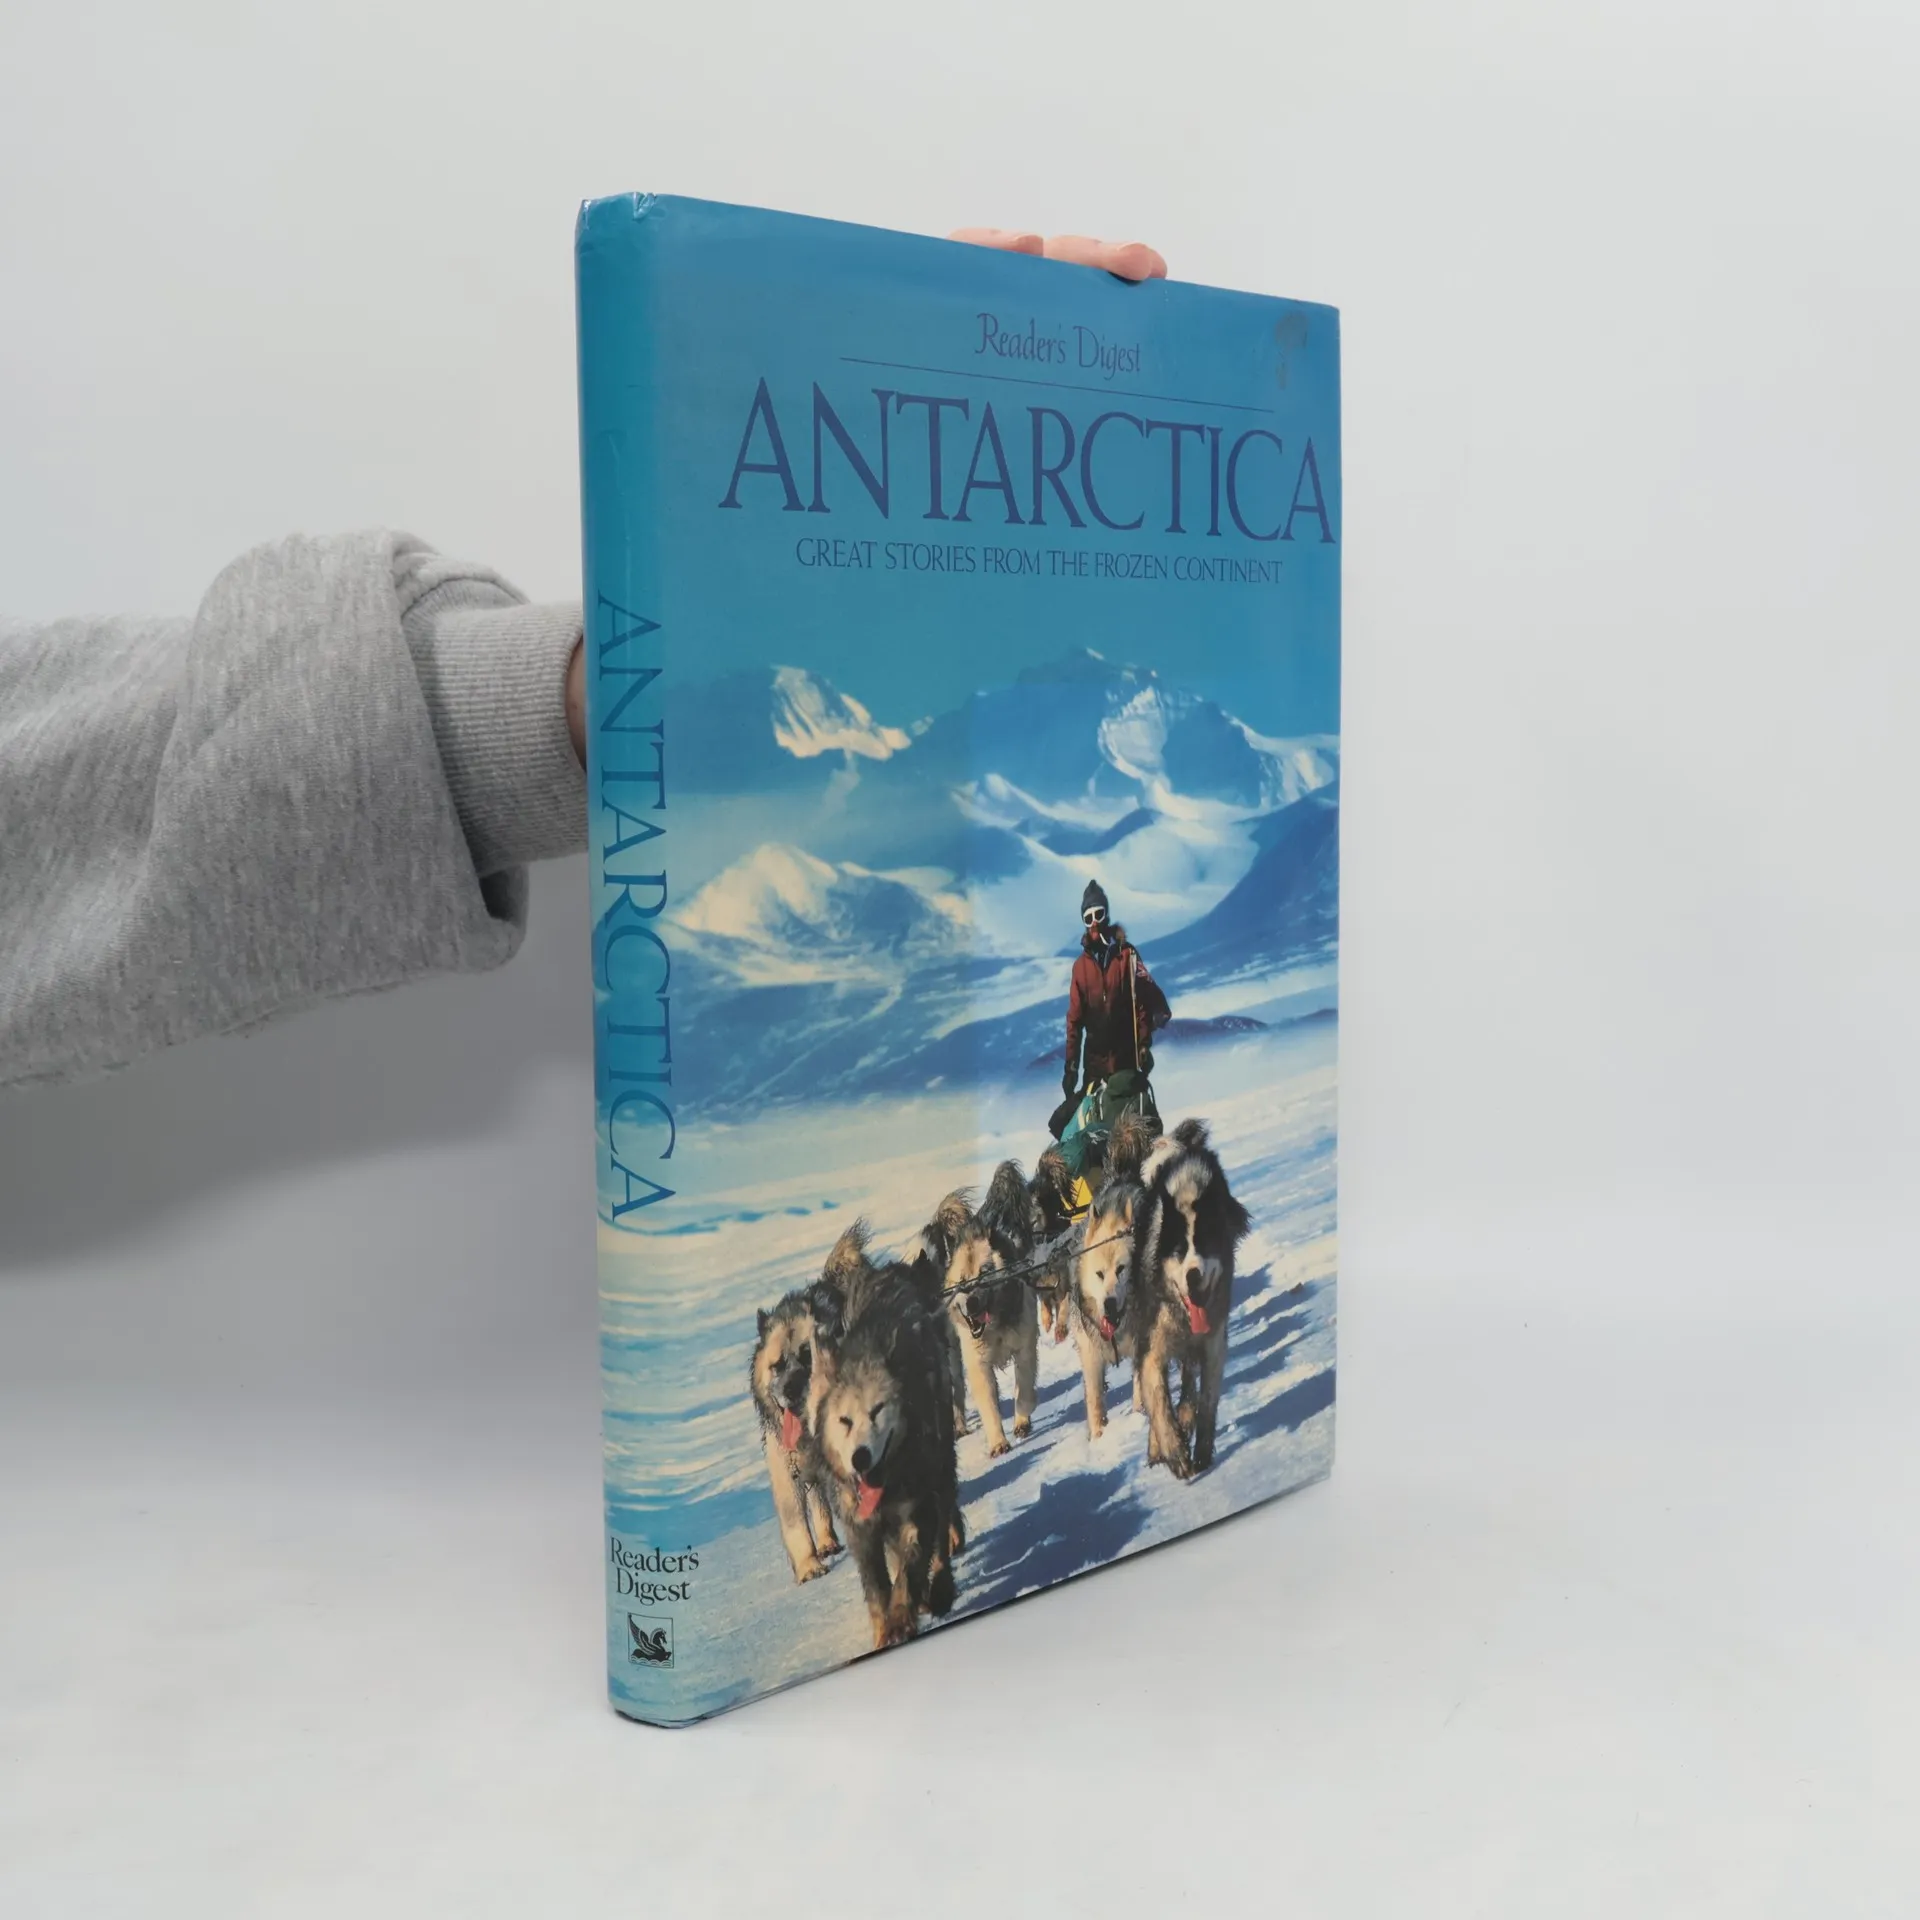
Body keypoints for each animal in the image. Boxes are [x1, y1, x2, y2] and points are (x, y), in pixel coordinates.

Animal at [749, 1289, 844, 1582]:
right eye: (777, 1366)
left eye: (807, 1356)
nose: (790, 1390)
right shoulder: (784, 1469)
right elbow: (796, 1524)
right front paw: (808, 1566)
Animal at [809, 1220, 964, 1649]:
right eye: (844, 1421)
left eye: (878, 1410)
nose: (860, 1457)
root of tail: (893, 1274)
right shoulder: (861, 1529)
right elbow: (878, 1585)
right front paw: (885, 1627)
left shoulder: (916, 1509)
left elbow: (909, 1572)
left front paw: (902, 1616)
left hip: (942, 1467)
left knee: (944, 1525)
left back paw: (940, 1587)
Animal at [940, 1161, 1041, 1457]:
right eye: (962, 1283)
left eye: (985, 1274)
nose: (971, 1303)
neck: (994, 1327)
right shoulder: (978, 1366)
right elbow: (989, 1406)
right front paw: (998, 1441)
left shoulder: (1024, 1348)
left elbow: (1024, 1391)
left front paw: (1022, 1420)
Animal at [1068, 1110, 1159, 1439]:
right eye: (1098, 1274)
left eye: (1121, 1270)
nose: (1108, 1303)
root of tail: (1122, 1176)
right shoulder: (1091, 1354)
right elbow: (1095, 1399)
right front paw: (1098, 1438)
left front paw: (1140, 1416)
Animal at [1132, 1118, 1251, 1478]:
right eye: (1179, 1250)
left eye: (1206, 1244)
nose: (1193, 1275)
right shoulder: (1152, 1347)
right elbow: (1158, 1402)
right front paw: (1174, 1452)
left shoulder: (1212, 1343)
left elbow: (1206, 1400)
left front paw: (1200, 1451)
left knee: (1188, 1381)